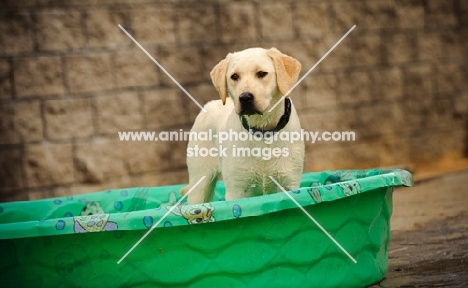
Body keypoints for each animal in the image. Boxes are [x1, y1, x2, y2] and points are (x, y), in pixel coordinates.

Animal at [181, 47, 306, 204]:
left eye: (262, 73)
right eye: (234, 76)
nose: (245, 97)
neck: (262, 130)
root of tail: (209, 105)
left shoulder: (289, 184)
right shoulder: (237, 191)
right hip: (200, 183)